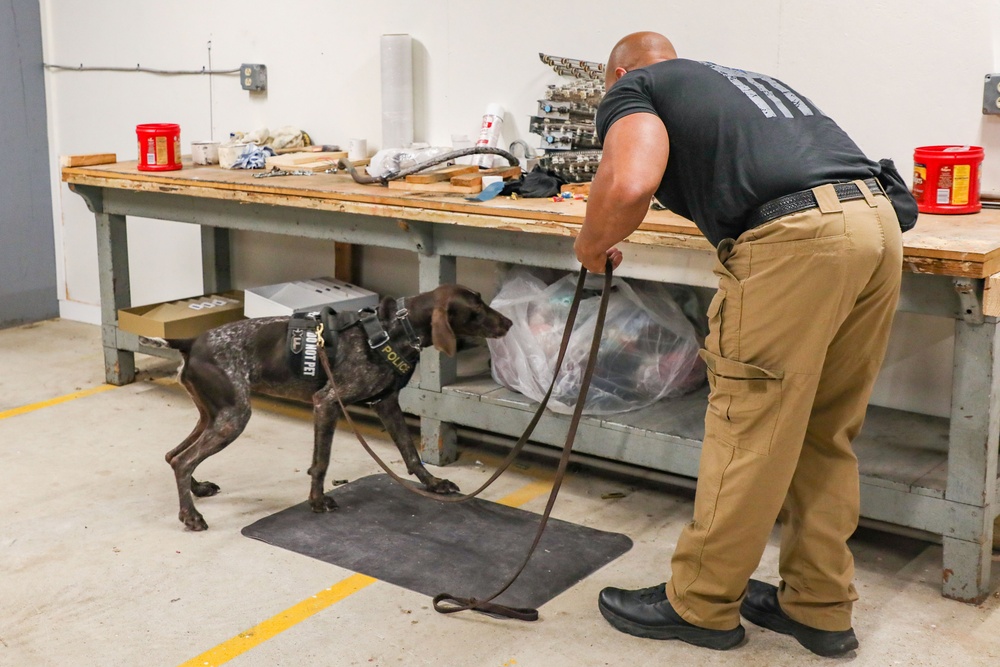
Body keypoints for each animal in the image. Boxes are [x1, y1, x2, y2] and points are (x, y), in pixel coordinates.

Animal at [145, 286, 512, 532]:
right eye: (476, 309)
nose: (508, 322)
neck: (393, 329)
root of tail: (192, 342)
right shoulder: (327, 403)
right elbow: (321, 463)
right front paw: (317, 501)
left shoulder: (386, 404)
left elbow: (410, 454)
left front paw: (434, 483)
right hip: (233, 418)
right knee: (183, 460)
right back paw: (190, 515)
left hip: (214, 415)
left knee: (174, 455)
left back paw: (196, 489)